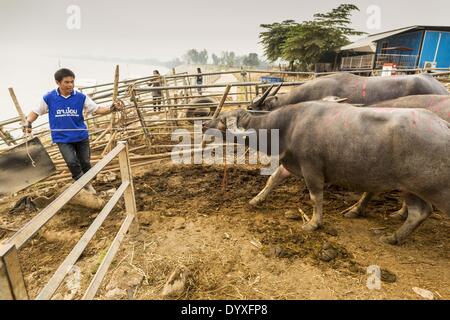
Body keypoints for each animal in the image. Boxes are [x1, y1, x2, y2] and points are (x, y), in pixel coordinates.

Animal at [205, 104, 450, 244]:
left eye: (222, 119)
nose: (205, 123)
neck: (288, 126)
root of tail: (443, 125)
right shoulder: (290, 163)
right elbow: (273, 180)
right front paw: (256, 200)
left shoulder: (311, 168)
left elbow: (316, 197)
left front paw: (314, 223)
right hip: (410, 187)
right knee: (419, 212)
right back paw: (393, 237)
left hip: (434, 188)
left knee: (421, 211)